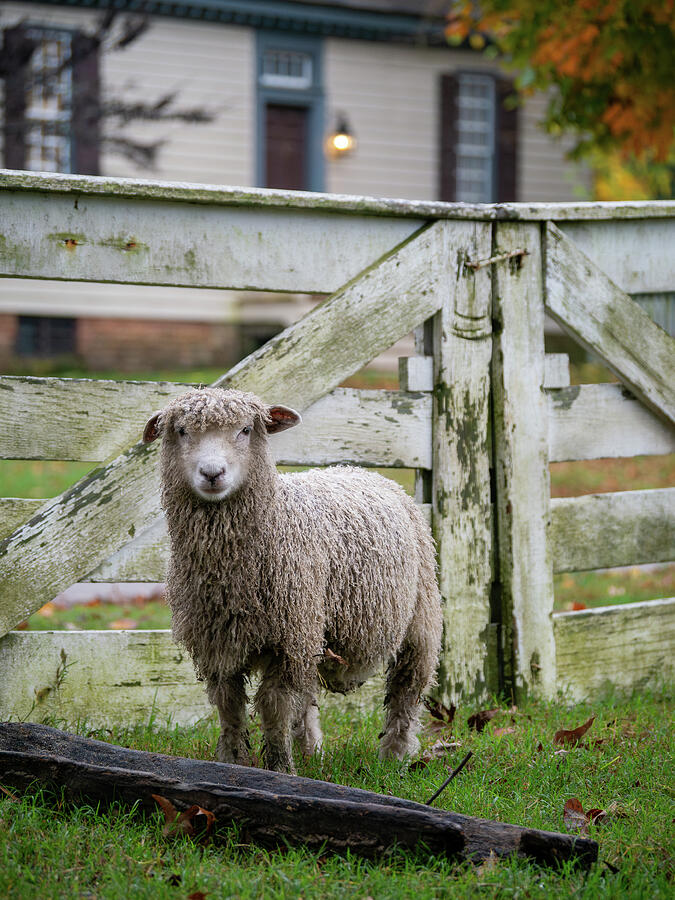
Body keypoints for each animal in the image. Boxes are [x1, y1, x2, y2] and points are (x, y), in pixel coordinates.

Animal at [143, 386, 442, 773]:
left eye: (245, 430)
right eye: (180, 431)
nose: (212, 473)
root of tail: (359, 469)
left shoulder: (288, 639)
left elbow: (274, 706)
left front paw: (280, 767)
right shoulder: (219, 643)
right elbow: (229, 706)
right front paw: (234, 762)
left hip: (419, 617)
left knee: (408, 688)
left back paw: (395, 755)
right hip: (312, 628)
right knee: (309, 693)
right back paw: (311, 750)